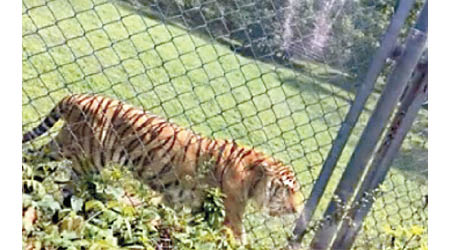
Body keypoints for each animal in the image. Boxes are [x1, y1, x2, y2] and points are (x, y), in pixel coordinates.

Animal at [21, 94, 304, 242]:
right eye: (288, 189)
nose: (298, 208)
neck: (253, 181)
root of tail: (78, 97)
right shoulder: (230, 214)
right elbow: (238, 240)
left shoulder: (177, 200)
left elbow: (166, 220)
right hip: (83, 156)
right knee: (64, 186)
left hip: (65, 147)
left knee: (35, 159)